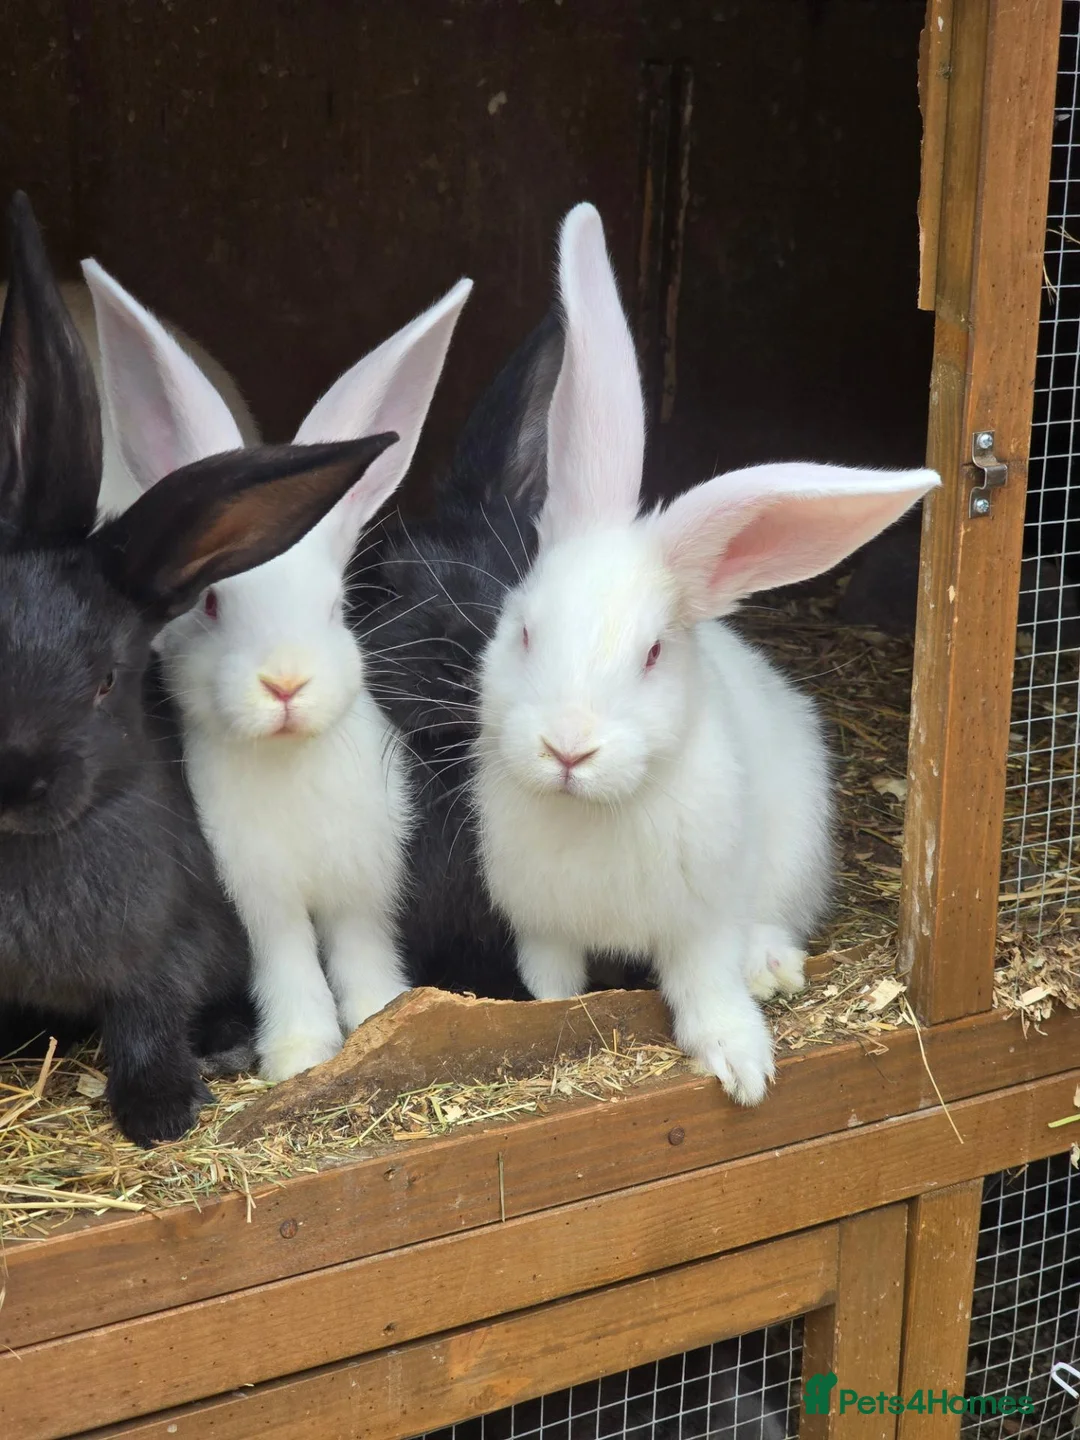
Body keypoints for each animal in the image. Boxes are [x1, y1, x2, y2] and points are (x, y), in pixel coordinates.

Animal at [83, 257, 473, 1081]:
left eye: (338, 606)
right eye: (210, 605)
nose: (286, 684)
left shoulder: (366, 883)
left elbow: (360, 950)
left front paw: (381, 1012)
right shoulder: (259, 898)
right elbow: (289, 964)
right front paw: (298, 1054)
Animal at [472, 203, 940, 1106]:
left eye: (654, 653)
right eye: (524, 632)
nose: (568, 749)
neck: (598, 811)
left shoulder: (702, 921)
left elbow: (707, 988)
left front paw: (743, 1069)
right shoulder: (543, 932)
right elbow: (552, 991)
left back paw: (773, 966)